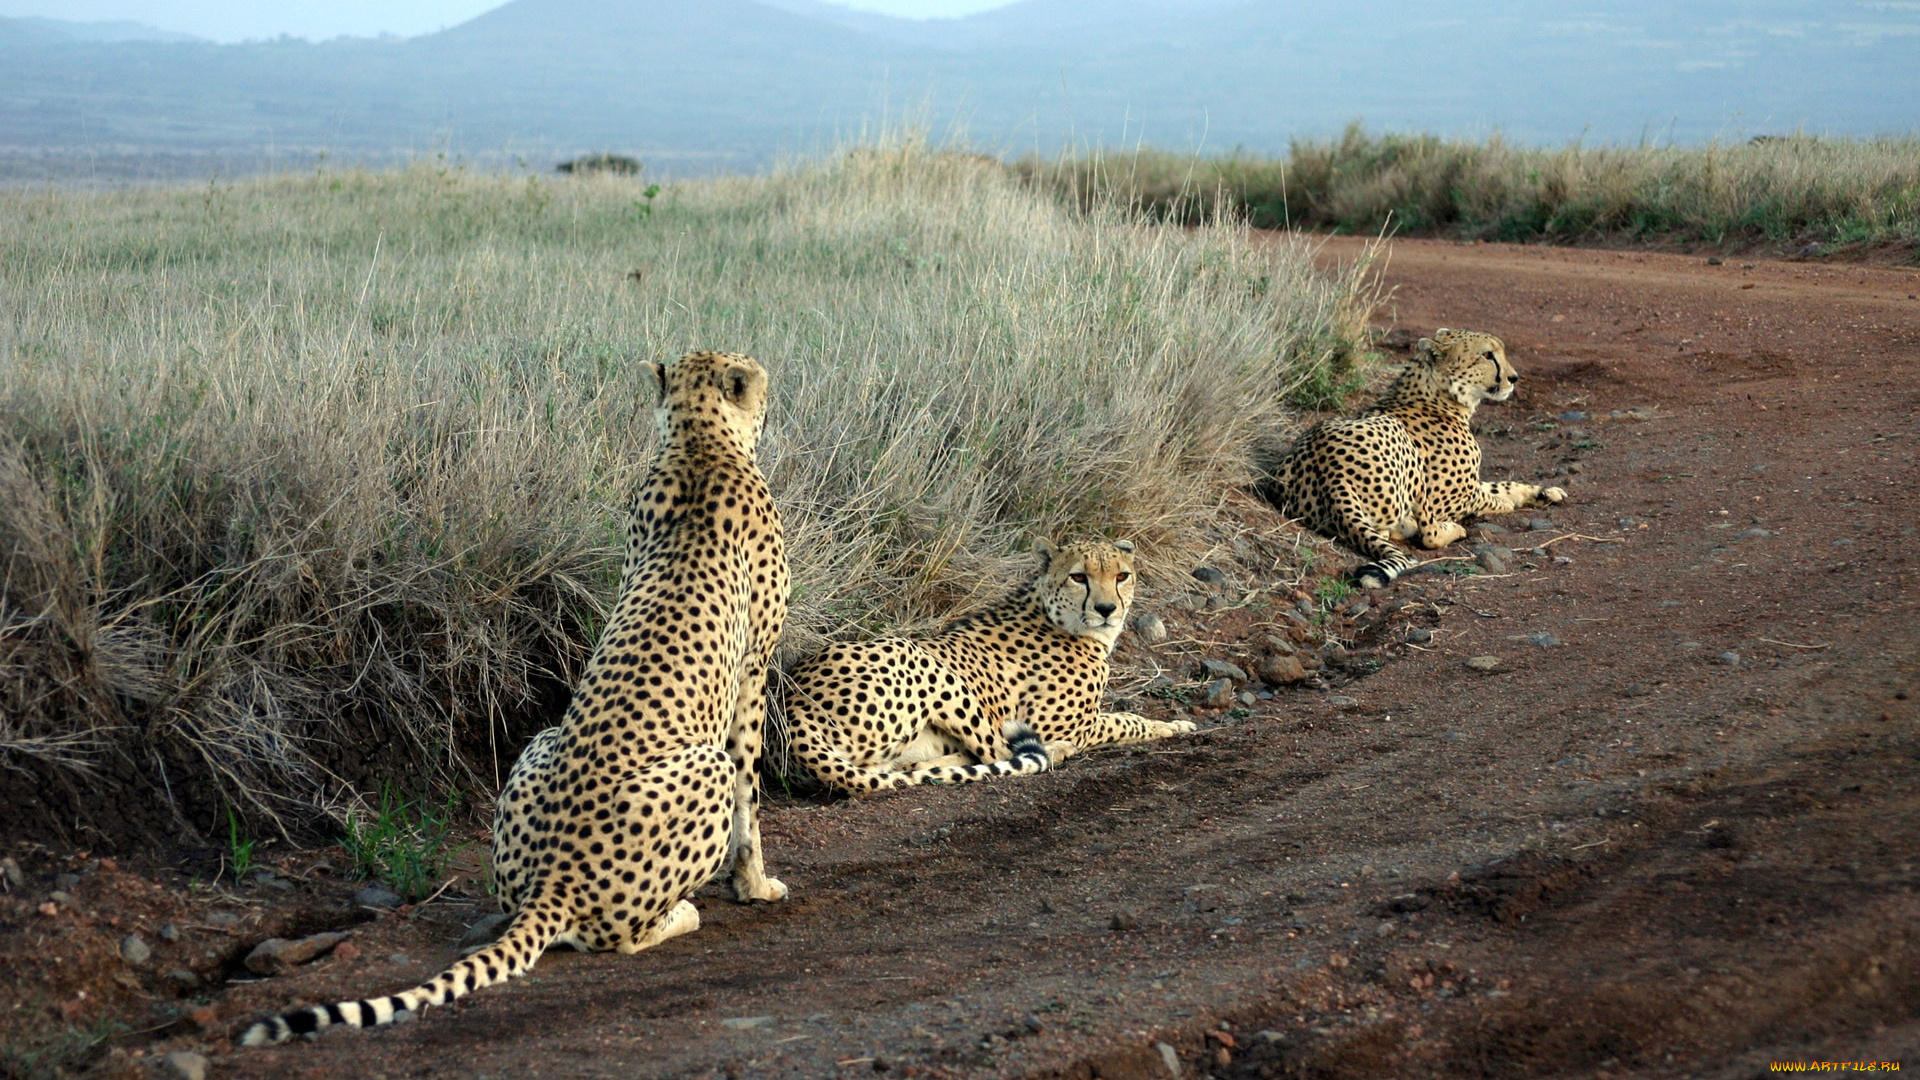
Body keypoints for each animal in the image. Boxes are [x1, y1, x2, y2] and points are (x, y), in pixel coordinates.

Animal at [245, 351, 787, 1045]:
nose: (770, 395)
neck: (699, 442)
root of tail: (555, 879)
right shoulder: (753, 672)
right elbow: (751, 791)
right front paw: (755, 885)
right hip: (702, 769)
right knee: (621, 937)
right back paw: (682, 916)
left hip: (542, 744)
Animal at [775, 534, 1182, 795]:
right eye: (1079, 577)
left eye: (1122, 576)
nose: (1107, 609)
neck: (1056, 616)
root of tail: (790, 709)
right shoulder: (1060, 725)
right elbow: (1125, 720)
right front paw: (1173, 726)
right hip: (925, 662)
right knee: (1003, 752)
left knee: (902, 767)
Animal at [1267, 326, 1566, 588]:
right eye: (1487, 355)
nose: (1514, 378)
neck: (1440, 396)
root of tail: (1330, 476)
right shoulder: (1451, 496)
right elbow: (1491, 498)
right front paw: (1506, 503)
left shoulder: (1468, 485)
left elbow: (1500, 484)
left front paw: (1544, 492)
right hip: (1398, 438)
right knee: (1428, 534)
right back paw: (1451, 528)